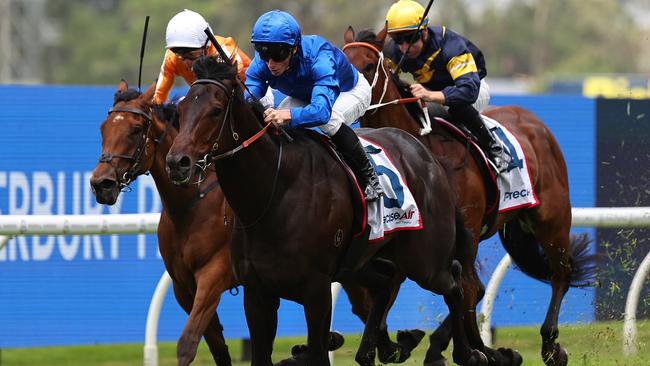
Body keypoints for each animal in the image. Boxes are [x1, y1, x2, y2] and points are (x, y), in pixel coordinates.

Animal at [88, 81, 234, 366]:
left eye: (135, 130)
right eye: (103, 127)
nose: (101, 184)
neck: (190, 205)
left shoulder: (214, 274)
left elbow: (188, 342)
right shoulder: (183, 286)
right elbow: (217, 346)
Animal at [165, 56, 484, 366]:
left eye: (216, 110)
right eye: (180, 111)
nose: (177, 162)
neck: (274, 194)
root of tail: (427, 156)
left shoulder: (316, 291)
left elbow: (319, 353)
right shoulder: (257, 293)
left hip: (424, 261)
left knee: (455, 282)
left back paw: (467, 353)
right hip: (361, 261)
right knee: (387, 281)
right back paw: (377, 351)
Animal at [342, 27, 596, 366]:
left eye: (369, 65)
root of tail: (533, 121)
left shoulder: (460, 232)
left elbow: (462, 289)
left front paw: (469, 350)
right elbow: (386, 292)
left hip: (551, 217)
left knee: (559, 273)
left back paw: (549, 345)